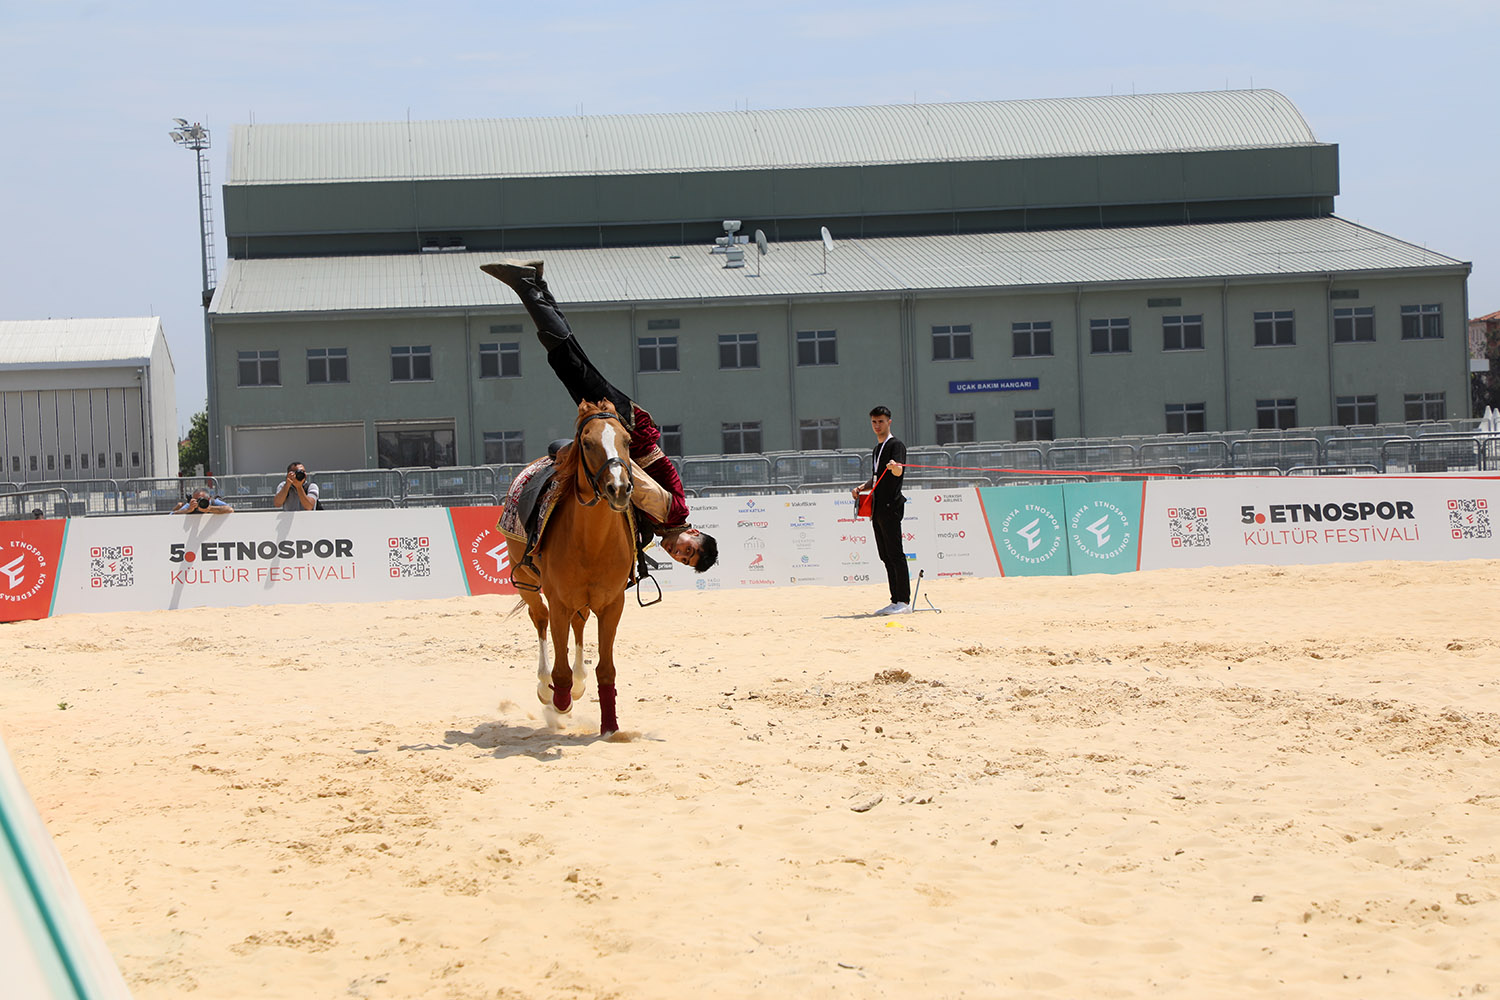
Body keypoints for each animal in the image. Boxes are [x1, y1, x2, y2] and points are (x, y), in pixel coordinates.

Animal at [507, 398, 636, 734]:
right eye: (588, 443)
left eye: (627, 440)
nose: (619, 488)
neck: (592, 541)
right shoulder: (559, 602)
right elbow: (560, 669)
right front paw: (559, 699)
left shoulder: (613, 604)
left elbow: (606, 668)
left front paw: (610, 725)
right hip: (526, 580)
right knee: (539, 617)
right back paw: (545, 688)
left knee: (579, 623)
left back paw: (578, 684)